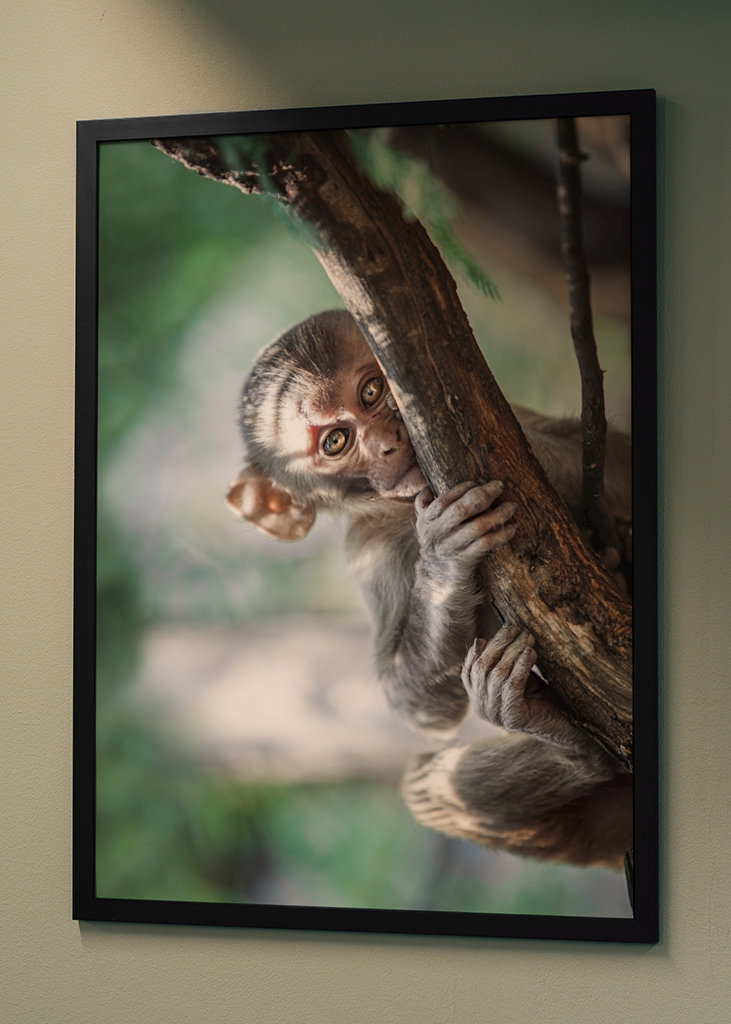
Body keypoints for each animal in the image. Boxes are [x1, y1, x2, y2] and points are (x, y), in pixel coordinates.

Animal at [226, 309, 633, 869]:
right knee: (426, 789)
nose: (389, 441)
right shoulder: (370, 554)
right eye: (336, 442)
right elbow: (419, 707)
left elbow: (617, 455)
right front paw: (443, 562)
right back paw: (568, 740)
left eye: (372, 391)